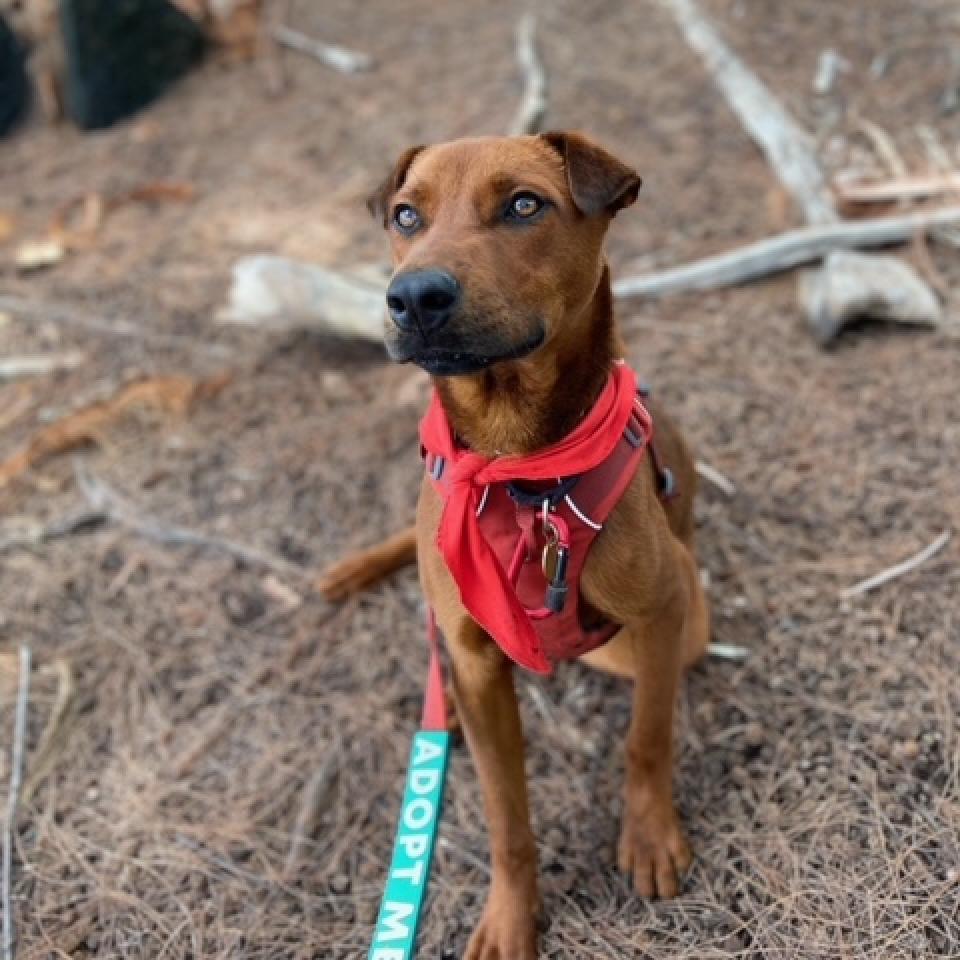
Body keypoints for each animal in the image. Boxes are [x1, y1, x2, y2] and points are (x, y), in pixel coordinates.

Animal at [324, 133, 712, 960]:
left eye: (525, 205)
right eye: (406, 216)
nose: (414, 296)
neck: (515, 470)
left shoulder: (664, 609)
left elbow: (647, 738)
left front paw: (650, 836)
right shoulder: (475, 662)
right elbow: (507, 817)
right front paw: (510, 917)